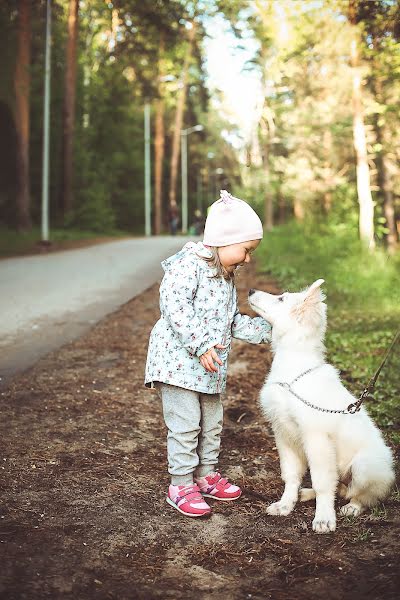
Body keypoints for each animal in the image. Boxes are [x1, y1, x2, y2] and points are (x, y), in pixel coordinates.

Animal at [248, 282, 396, 536]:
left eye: (281, 299)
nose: (249, 292)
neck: (294, 367)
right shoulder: (284, 434)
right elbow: (291, 474)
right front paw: (286, 504)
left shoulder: (316, 439)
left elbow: (323, 482)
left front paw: (324, 518)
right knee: (342, 488)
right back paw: (306, 494)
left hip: (365, 465)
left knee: (362, 495)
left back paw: (352, 508)